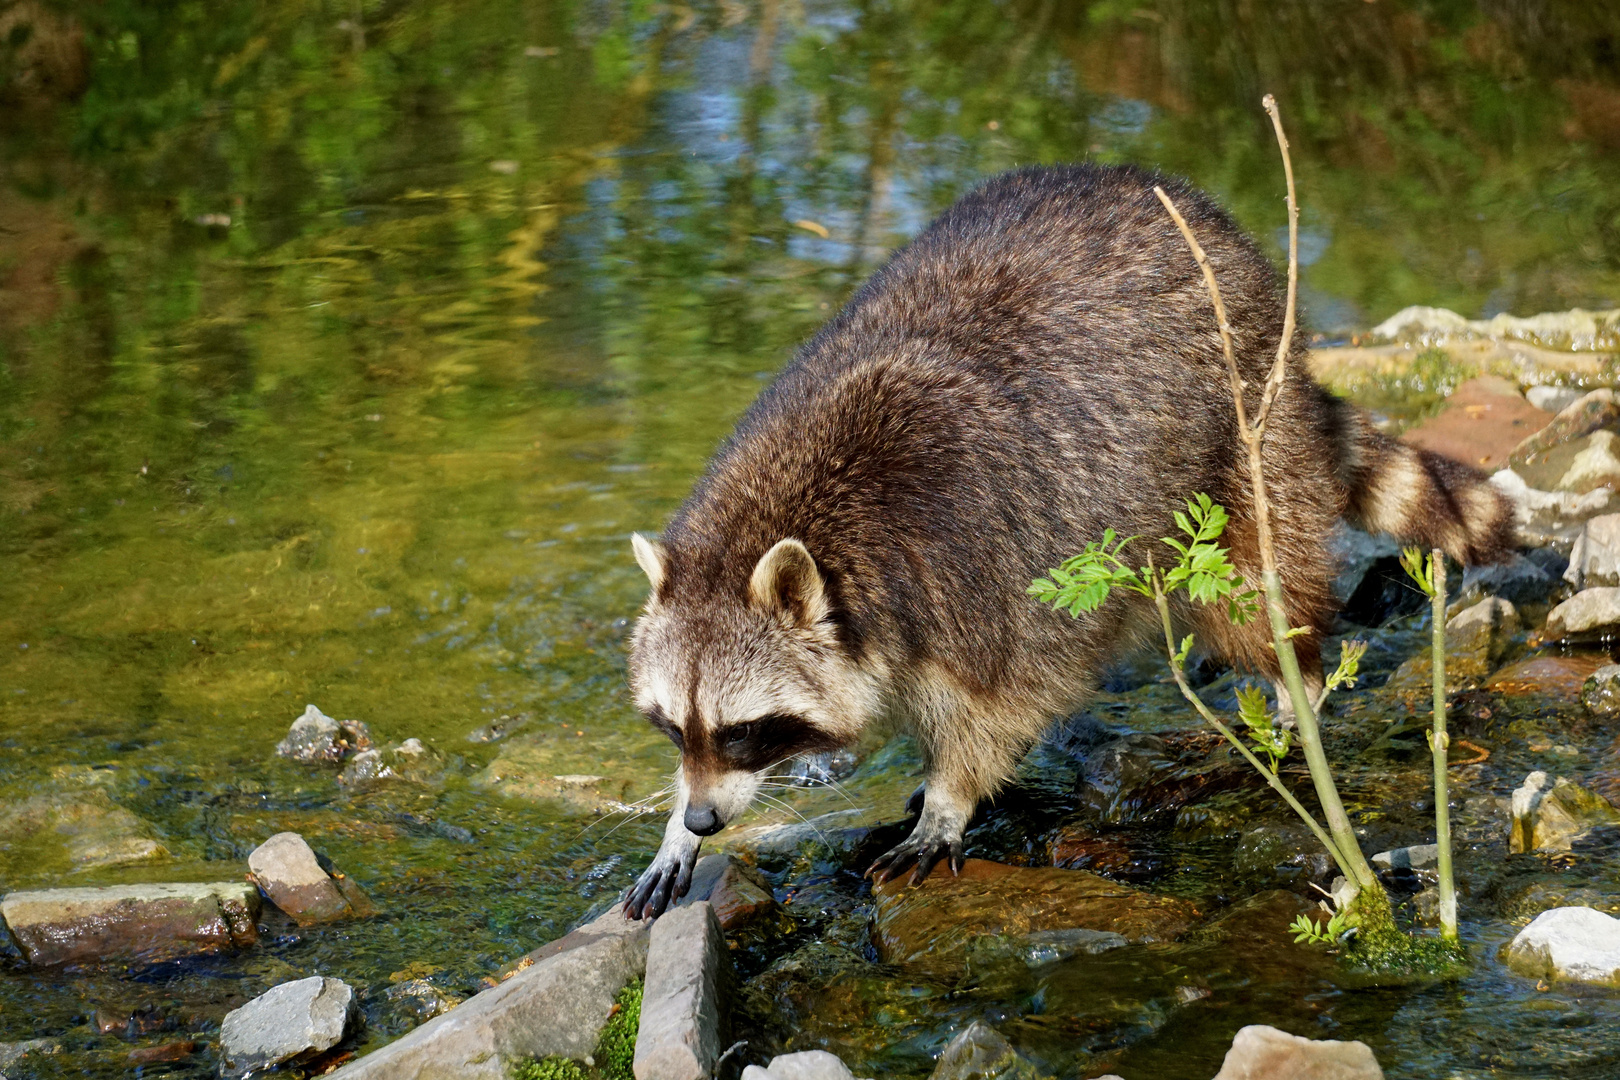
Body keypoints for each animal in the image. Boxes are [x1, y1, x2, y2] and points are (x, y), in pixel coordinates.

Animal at [615, 162, 1503, 919]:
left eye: (743, 731)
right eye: (675, 729)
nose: (701, 820)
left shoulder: (979, 568)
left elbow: (1005, 702)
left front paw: (949, 800)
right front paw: (677, 829)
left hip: (1247, 418)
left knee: (1257, 592)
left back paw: (1298, 691)